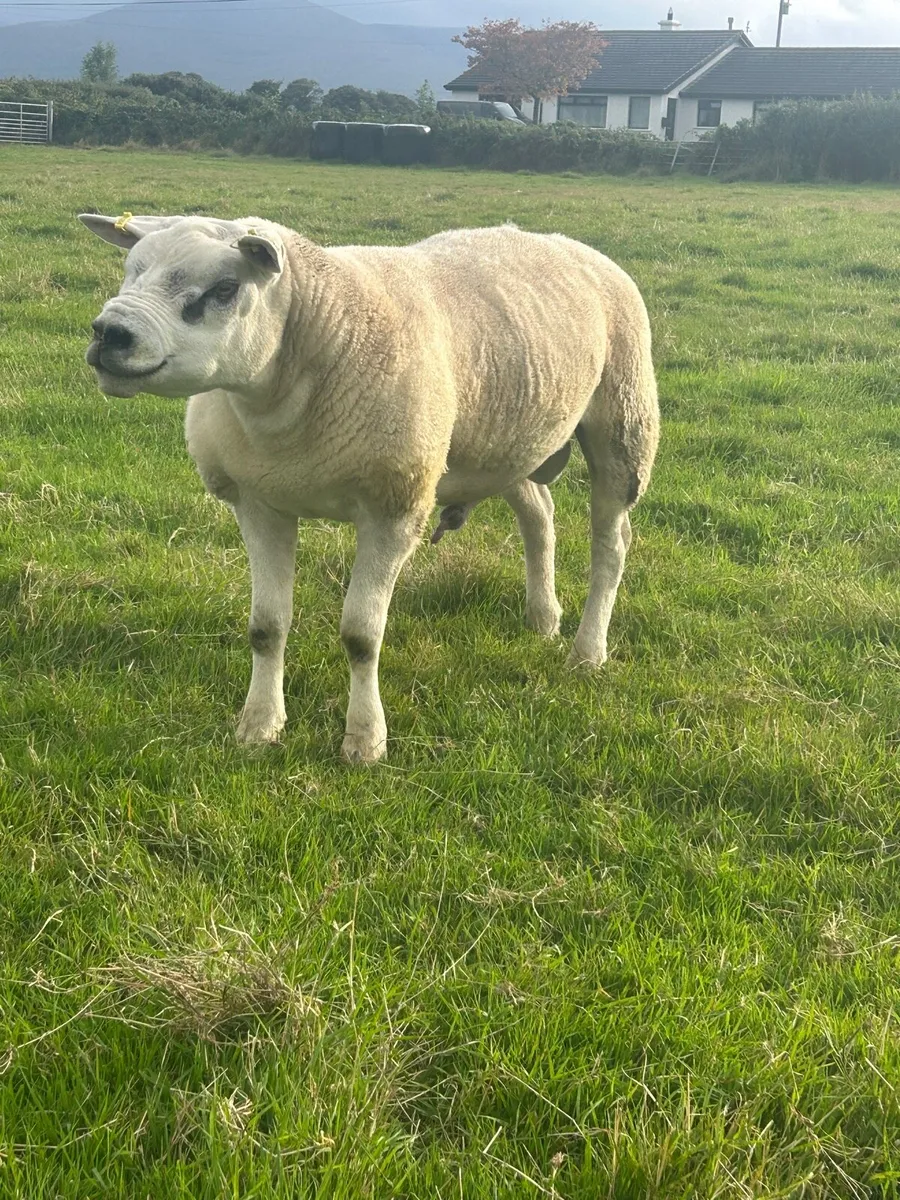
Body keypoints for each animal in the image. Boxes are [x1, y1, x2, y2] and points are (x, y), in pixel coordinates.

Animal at [79, 213, 660, 764]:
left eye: (225, 288)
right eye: (132, 268)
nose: (109, 333)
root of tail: (569, 244)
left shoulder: (393, 510)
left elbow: (361, 636)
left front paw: (365, 741)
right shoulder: (258, 503)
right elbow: (266, 627)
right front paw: (259, 726)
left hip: (624, 421)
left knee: (611, 546)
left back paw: (588, 652)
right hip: (510, 442)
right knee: (539, 514)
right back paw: (543, 618)